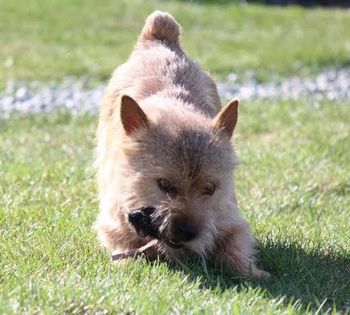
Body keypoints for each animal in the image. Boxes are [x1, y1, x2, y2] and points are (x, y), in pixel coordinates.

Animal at [94, 11, 266, 280]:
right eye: (164, 185)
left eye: (210, 189)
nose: (187, 232)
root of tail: (160, 39)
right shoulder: (113, 222)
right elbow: (123, 246)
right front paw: (129, 266)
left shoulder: (229, 220)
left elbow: (235, 247)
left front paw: (252, 273)